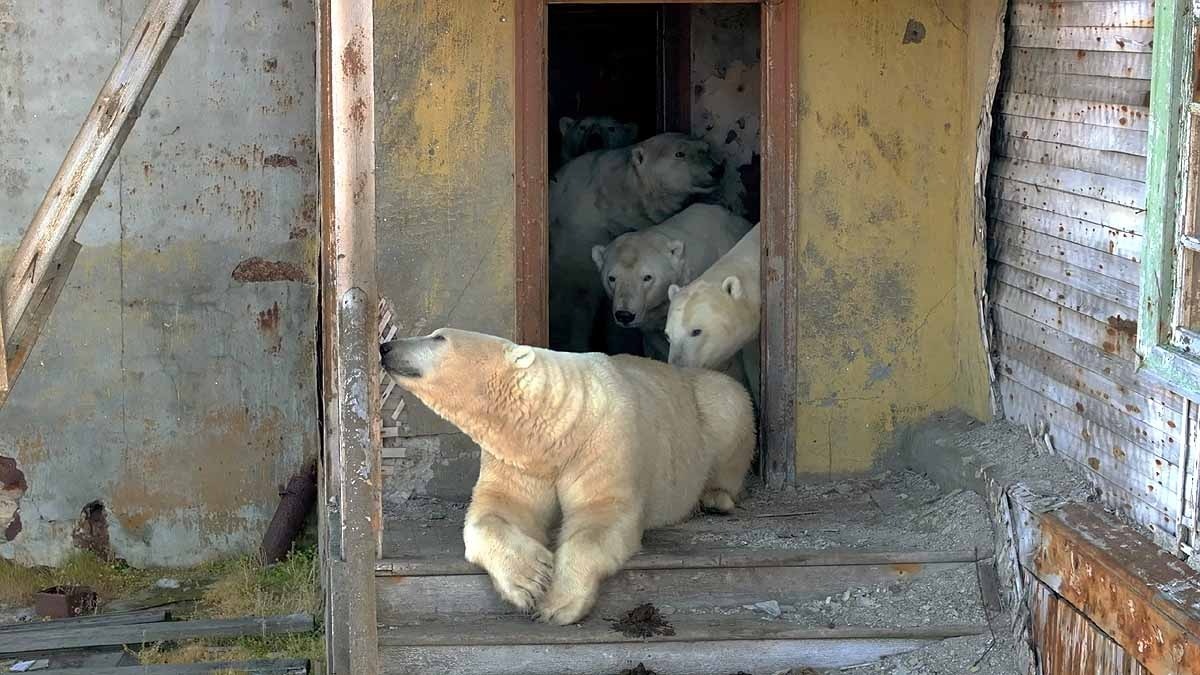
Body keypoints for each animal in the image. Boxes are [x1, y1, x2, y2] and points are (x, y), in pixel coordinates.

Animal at [379, 328, 755, 625]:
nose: (386, 346)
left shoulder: (602, 440)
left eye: (439, 337)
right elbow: (499, 508)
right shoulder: (519, 457)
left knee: (730, 408)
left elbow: (600, 515)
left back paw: (715, 498)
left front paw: (558, 603)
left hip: (710, 405)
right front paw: (529, 579)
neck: (556, 422)